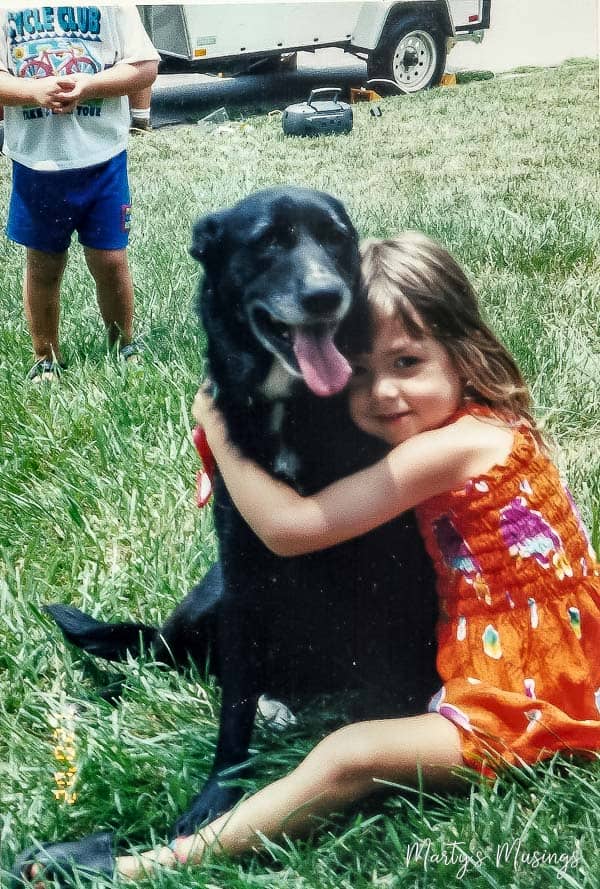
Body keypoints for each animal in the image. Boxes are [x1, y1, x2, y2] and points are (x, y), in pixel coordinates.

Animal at [47, 187, 438, 832]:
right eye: (268, 243)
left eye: (336, 239)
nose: (325, 294)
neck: (289, 407)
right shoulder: (244, 569)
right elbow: (233, 712)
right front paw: (214, 797)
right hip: (212, 601)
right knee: (163, 652)